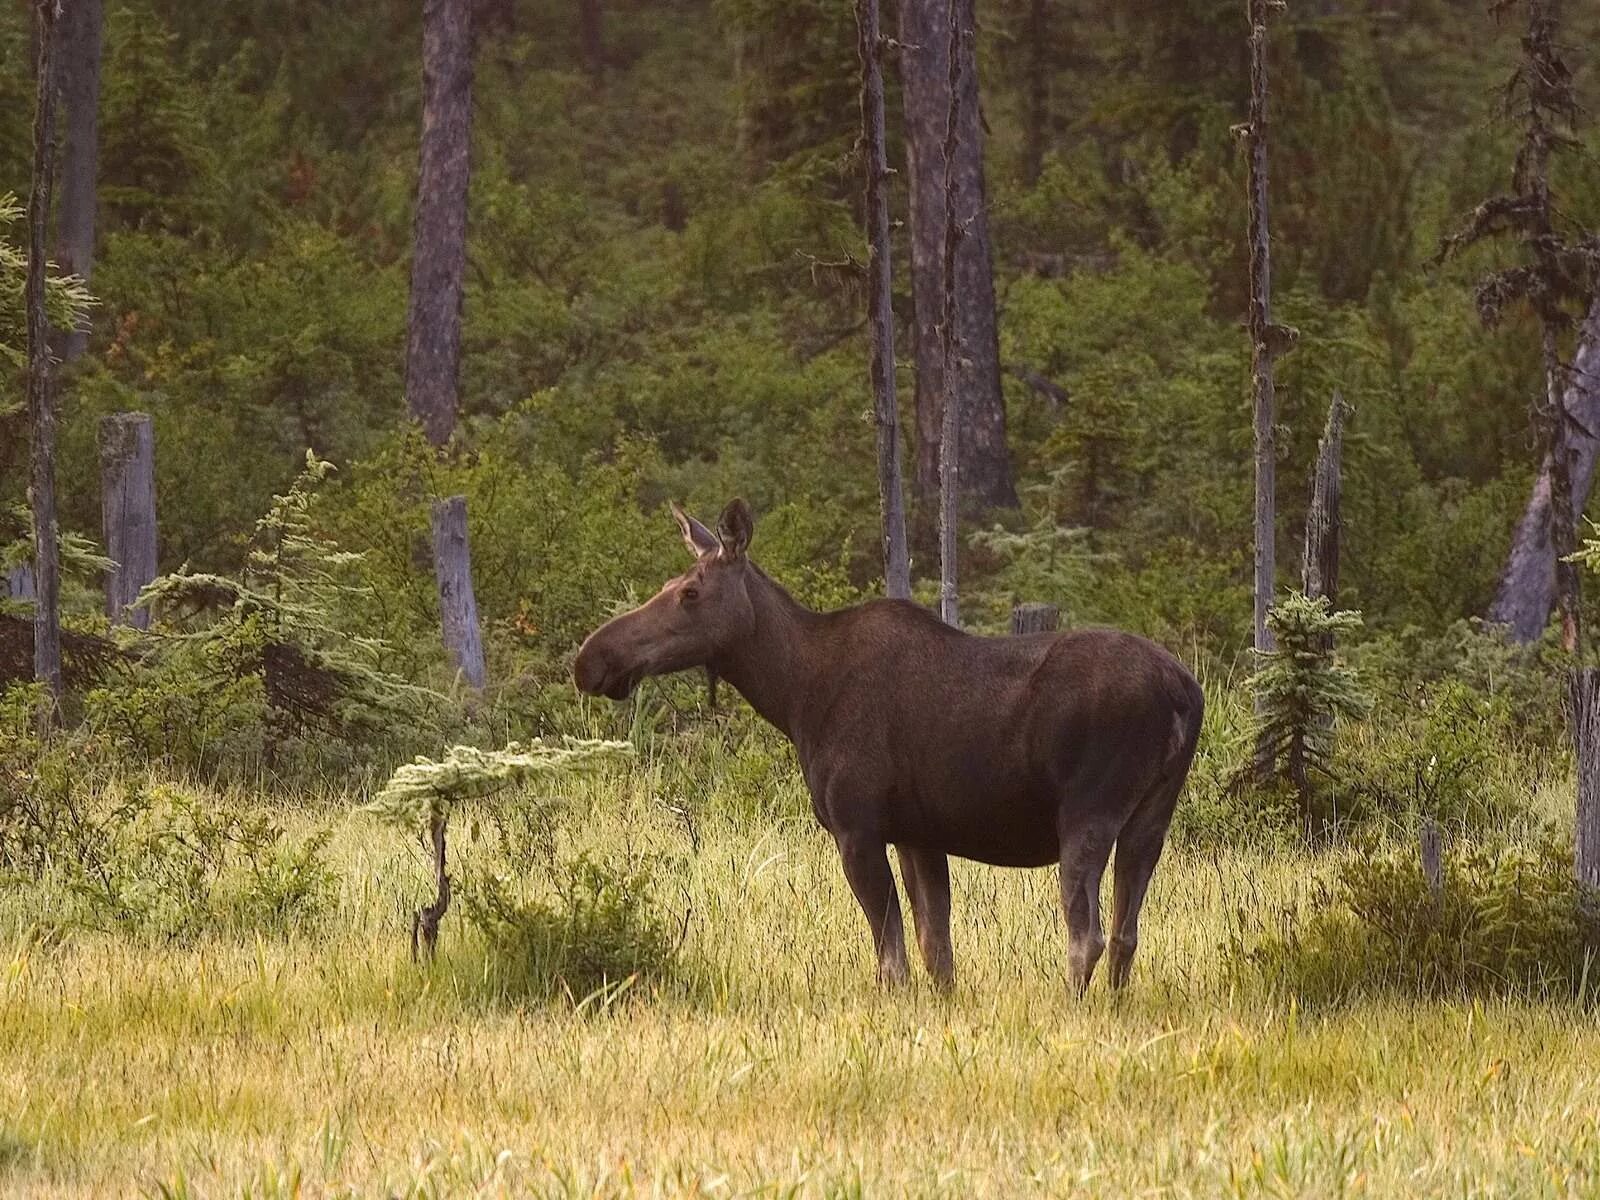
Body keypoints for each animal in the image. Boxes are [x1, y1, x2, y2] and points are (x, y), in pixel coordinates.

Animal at [576, 499, 1203, 998]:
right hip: (1152, 815)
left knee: (1086, 934)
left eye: (688, 592)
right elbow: (936, 951)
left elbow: (892, 958)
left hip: (1088, 810)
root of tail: (1182, 692)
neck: (794, 696)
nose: (591, 659)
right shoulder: (918, 832)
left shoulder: (857, 825)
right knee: (1125, 932)